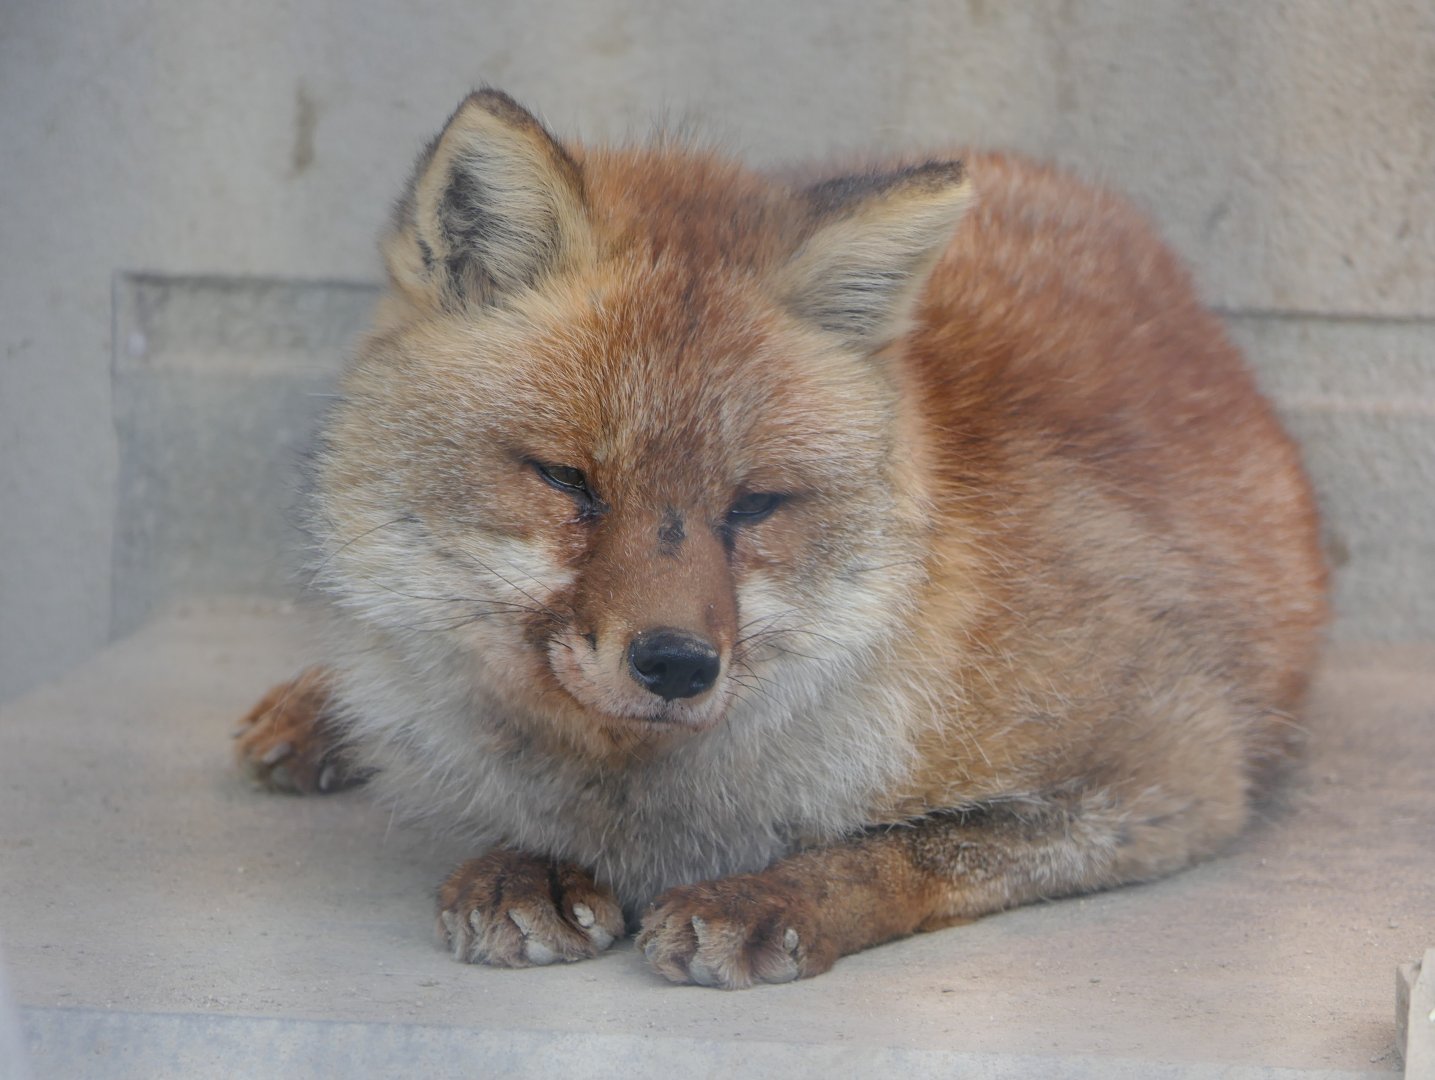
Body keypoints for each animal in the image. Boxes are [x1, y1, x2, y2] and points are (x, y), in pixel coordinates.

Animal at [235, 89, 1328, 989]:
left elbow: (919, 845)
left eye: (754, 503)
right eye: (568, 480)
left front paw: (776, 896)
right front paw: (525, 859)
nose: (677, 665)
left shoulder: (1169, 767)